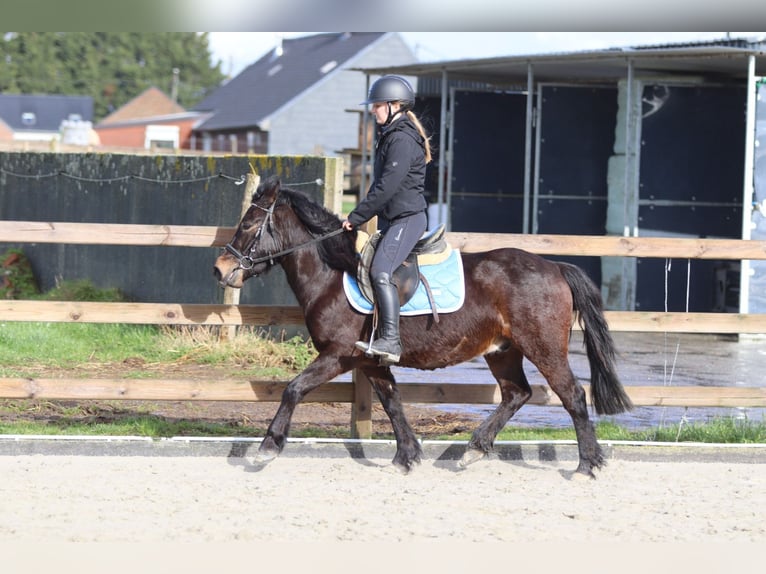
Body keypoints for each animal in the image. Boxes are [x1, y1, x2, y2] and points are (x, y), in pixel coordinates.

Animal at [213, 176, 633, 478]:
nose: (220, 269)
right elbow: (392, 402)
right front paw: (407, 456)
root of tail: (555, 266)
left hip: (543, 347)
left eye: (249, 224)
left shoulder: (338, 354)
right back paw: (473, 450)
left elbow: (294, 389)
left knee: (572, 396)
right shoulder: (370, 361)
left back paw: (587, 466)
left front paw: (267, 447)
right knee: (517, 394)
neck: (333, 272)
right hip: (503, 351)